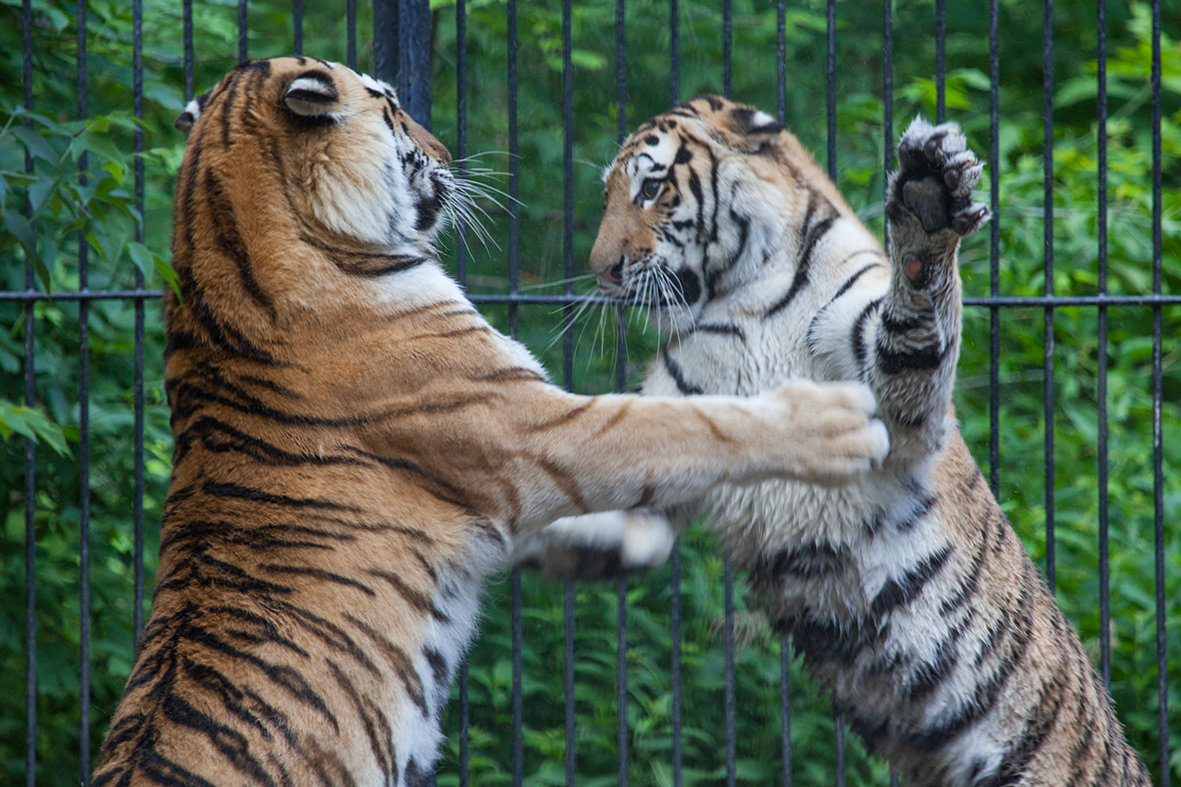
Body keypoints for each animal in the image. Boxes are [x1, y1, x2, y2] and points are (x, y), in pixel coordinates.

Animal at [89, 58, 892, 779]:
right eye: (391, 107)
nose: (447, 152)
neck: (225, 234)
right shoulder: (528, 430)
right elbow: (687, 427)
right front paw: (834, 422)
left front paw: (608, 547)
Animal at [529, 95, 1152, 779]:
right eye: (610, 194)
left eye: (650, 187)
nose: (602, 273)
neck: (743, 294)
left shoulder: (897, 411)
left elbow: (915, 321)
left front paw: (929, 197)